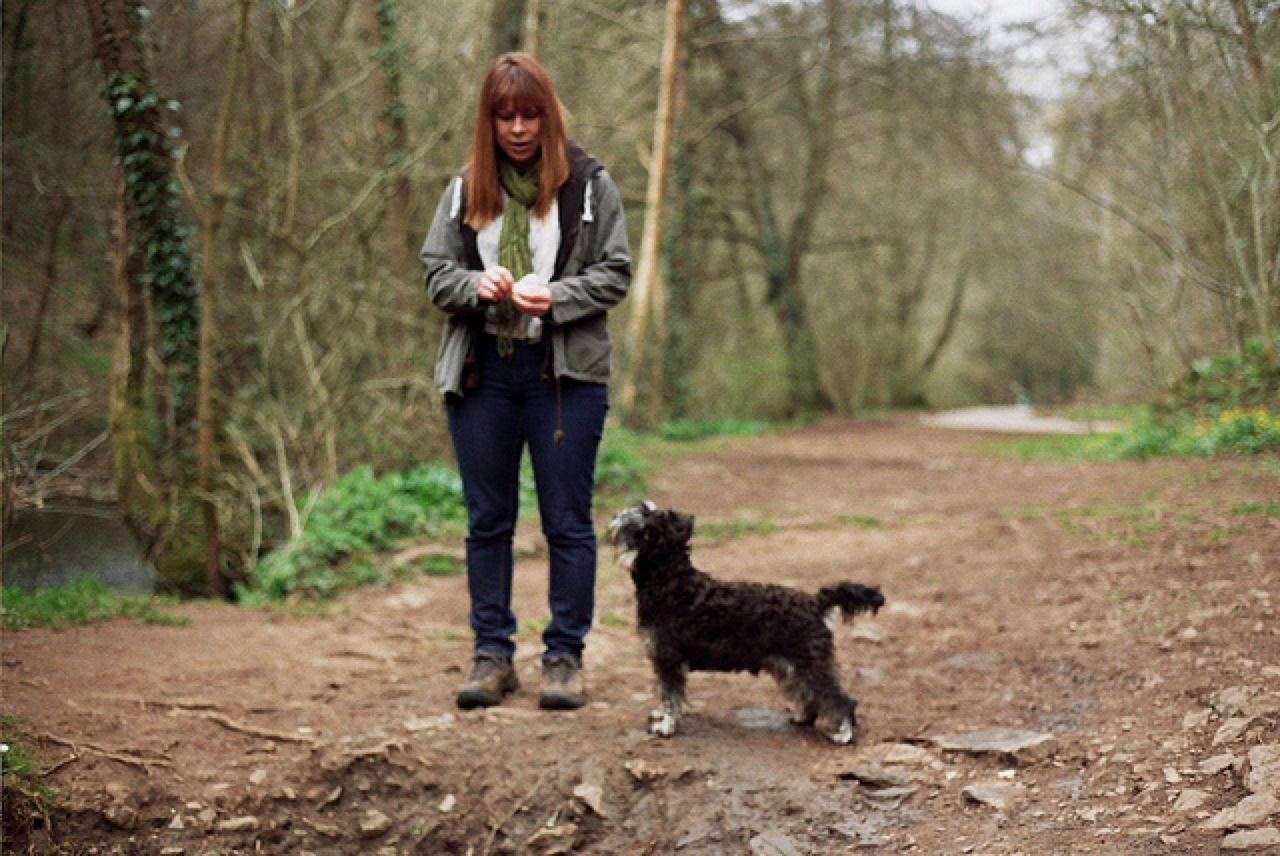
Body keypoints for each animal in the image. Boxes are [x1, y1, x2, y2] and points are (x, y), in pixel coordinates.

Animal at [606, 501, 885, 742]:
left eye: (641, 515)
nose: (615, 515)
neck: (670, 580)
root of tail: (817, 602)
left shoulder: (668, 659)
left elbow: (670, 697)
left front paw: (665, 727)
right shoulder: (664, 660)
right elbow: (665, 694)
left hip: (810, 663)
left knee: (841, 698)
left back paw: (844, 734)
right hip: (790, 666)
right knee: (810, 694)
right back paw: (803, 717)